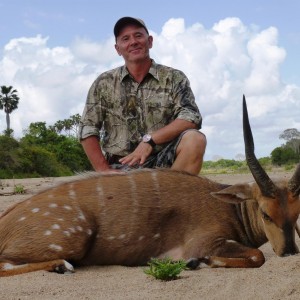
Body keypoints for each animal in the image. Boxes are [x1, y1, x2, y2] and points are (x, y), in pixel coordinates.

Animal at [0, 96, 298, 276]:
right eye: (265, 213)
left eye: (296, 216)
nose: (290, 252)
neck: (230, 208)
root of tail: (6, 220)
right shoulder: (205, 242)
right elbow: (256, 257)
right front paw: (194, 263)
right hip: (73, 237)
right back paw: (62, 265)